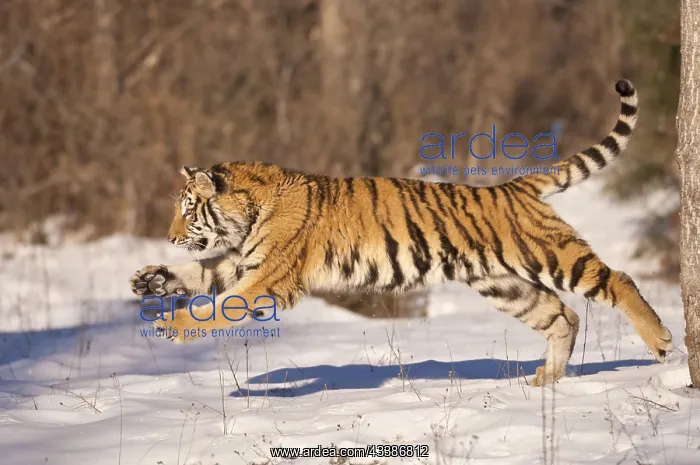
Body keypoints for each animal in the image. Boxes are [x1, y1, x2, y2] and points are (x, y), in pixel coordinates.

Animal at [130, 79, 672, 386]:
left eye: (187, 211)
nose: (170, 236)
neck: (251, 212)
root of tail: (514, 186)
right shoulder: (241, 261)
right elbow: (200, 274)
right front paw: (151, 279)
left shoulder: (268, 277)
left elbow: (214, 307)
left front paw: (171, 326)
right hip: (503, 285)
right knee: (562, 316)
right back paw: (547, 379)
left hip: (552, 255)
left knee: (617, 279)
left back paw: (661, 340)